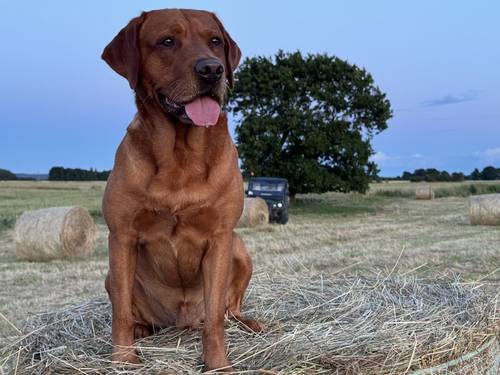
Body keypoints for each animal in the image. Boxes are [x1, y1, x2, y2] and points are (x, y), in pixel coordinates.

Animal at [103, 7, 264, 372]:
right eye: (167, 41)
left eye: (215, 41)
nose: (212, 70)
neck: (181, 155)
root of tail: (182, 322)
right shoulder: (121, 236)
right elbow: (120, 312)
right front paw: (123, 358)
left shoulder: (220, 238)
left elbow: (216, 319)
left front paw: (217, 363)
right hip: (109, 274)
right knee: (131, 311)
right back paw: (142, 329)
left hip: (240, 249)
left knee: (228, 310)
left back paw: (248, 323)